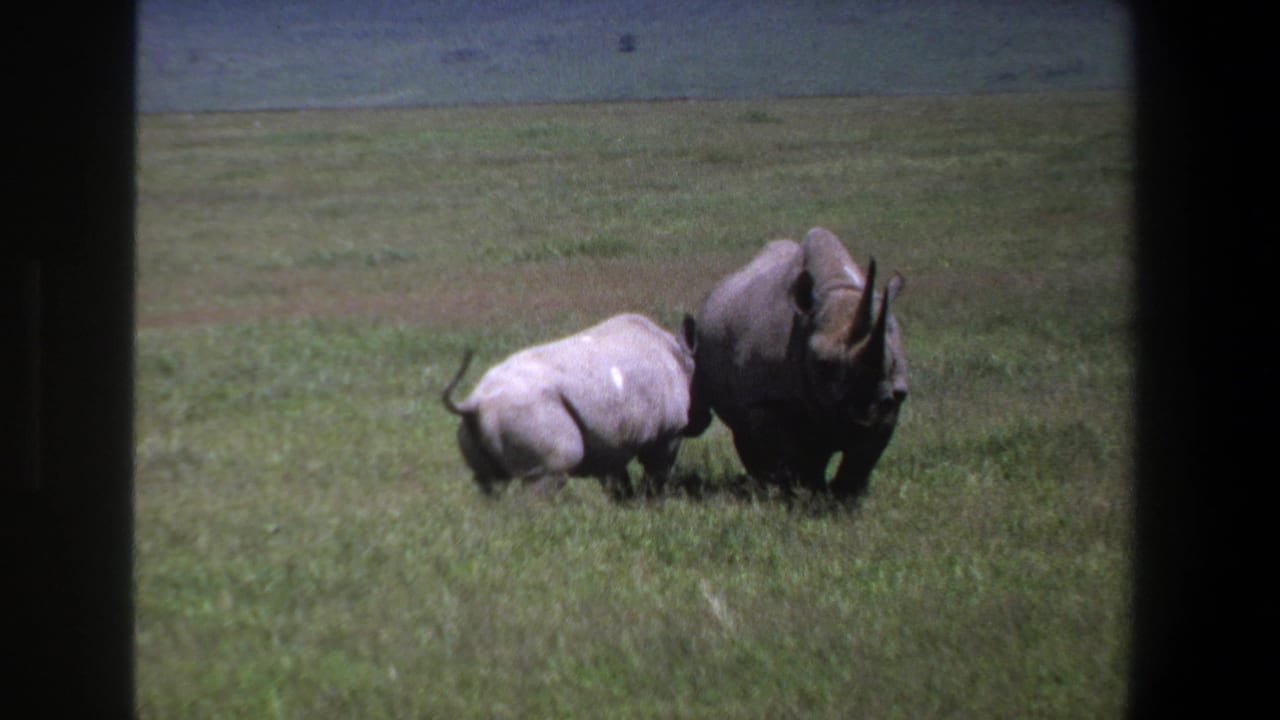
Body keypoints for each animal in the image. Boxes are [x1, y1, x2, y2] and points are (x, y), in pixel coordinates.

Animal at [442, 313, 698, 499]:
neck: (678, 352)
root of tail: (474, 403)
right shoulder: (670, 431)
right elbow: (658, 471)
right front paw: (653, 504)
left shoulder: (611, 439)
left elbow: (616, 477)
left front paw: (626, 505)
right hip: (529, 412)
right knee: (546, 475)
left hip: (476, 426)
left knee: (487, 482)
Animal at [686, 227, 907, 501]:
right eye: (822, 364)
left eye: (893, 360)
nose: (866, 412)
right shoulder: (767, 398)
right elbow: (787, 451)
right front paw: (798, 495)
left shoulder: (893, 397)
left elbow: (861, 459)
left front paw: (843, 499)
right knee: (747, 432)